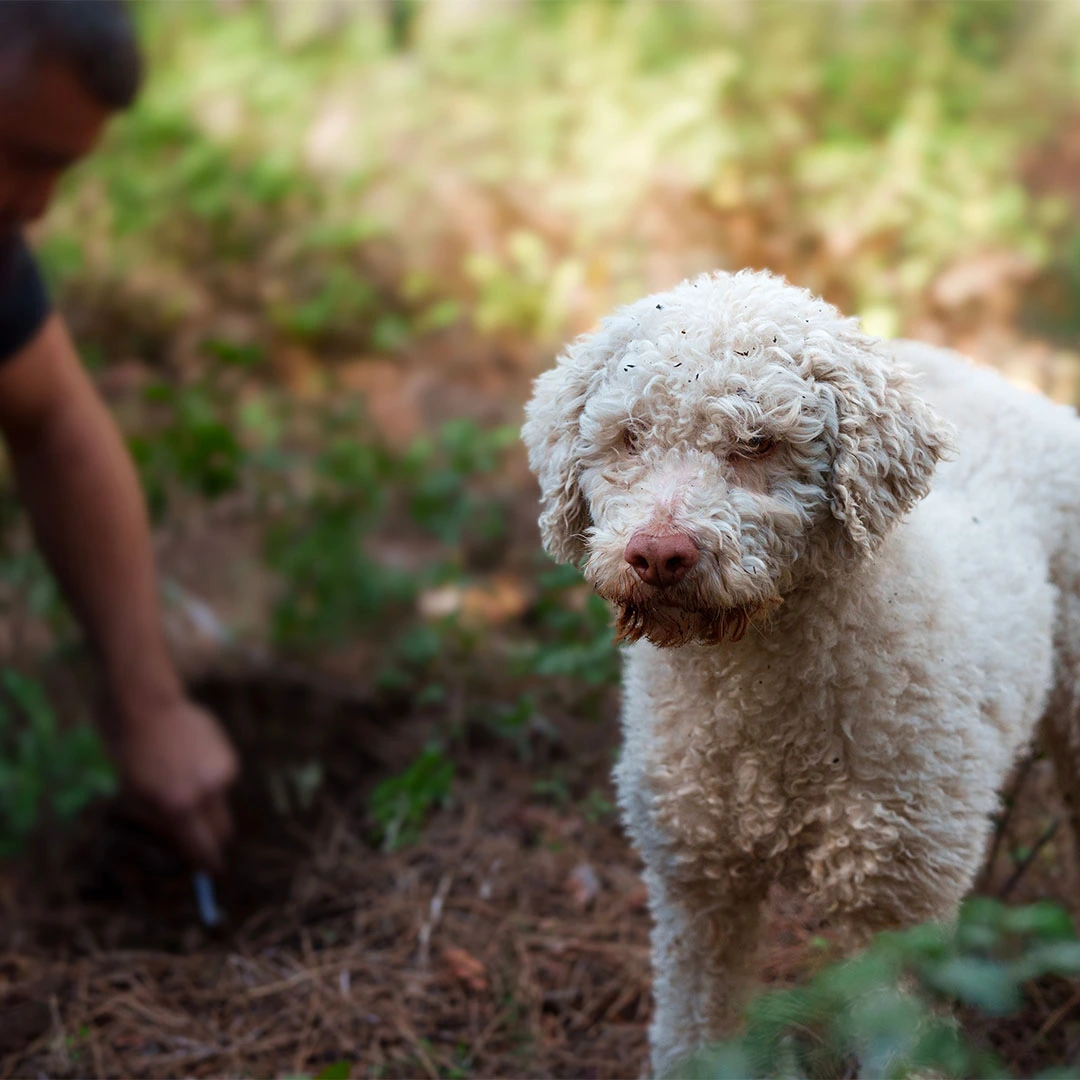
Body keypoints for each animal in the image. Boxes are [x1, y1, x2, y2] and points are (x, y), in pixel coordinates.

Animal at [518, 267, 1075, 1071]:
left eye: (759, 443)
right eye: (630, 437)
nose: (659, 555)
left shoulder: (892, 906)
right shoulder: (697, 885)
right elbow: (697, 1037)